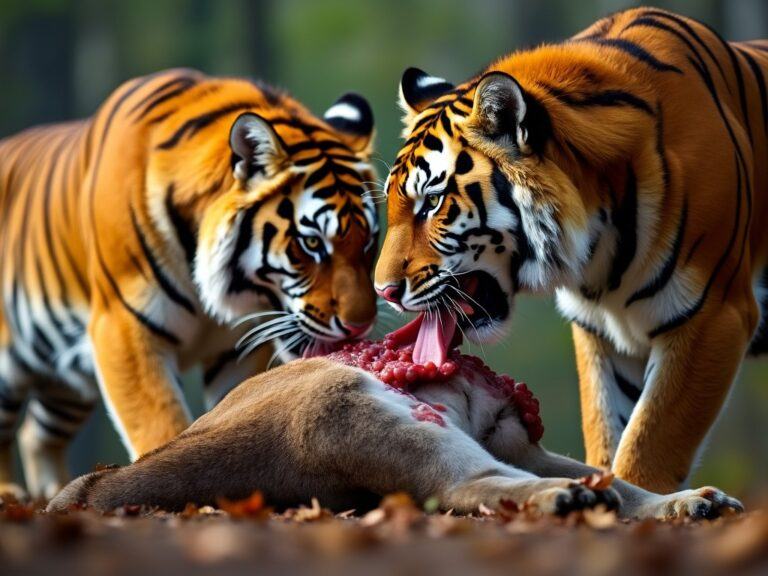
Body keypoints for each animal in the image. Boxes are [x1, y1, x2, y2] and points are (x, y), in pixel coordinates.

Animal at [0, 68, 378, 500]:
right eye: (312, 243)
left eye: (369, 242)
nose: (360, 325)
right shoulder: (124, 330)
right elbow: (161, 426)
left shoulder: (236, 350)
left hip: (67, 378)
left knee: (35, 433)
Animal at [376, 7, 768, 496]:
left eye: (431, 202)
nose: (384, 291)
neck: (599, 248)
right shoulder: (601, 332)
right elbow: (607, 433)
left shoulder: (713, 314)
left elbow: (650, 444)